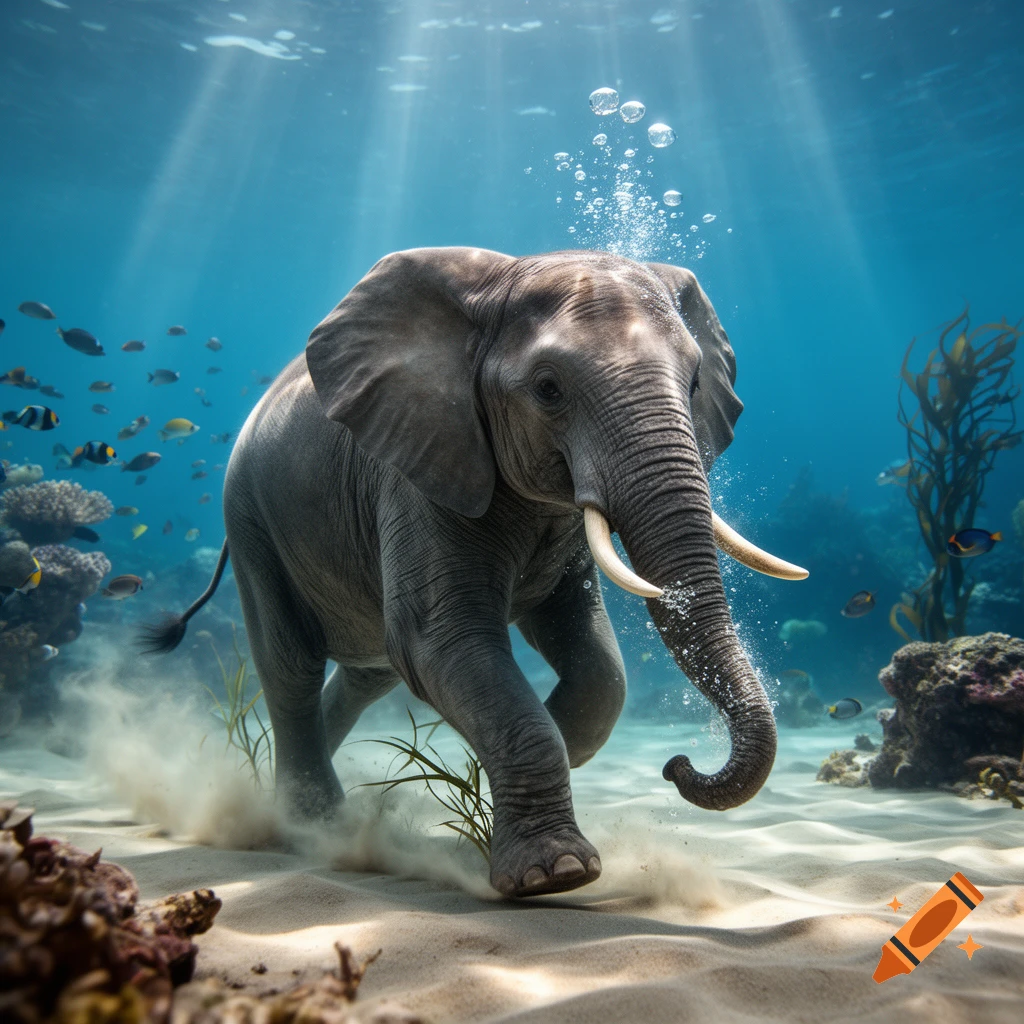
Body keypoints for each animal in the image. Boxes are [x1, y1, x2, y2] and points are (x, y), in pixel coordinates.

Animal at [144, 247, 807, 898]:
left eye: (694, 383)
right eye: (547, 389)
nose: (675, 766)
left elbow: (594, 659)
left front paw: (522, 768)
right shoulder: (418, 469)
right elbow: (440, 641)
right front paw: (554, 874)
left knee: (367, 673)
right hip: (251, 520)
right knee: (290, 666)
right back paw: (313, 827)